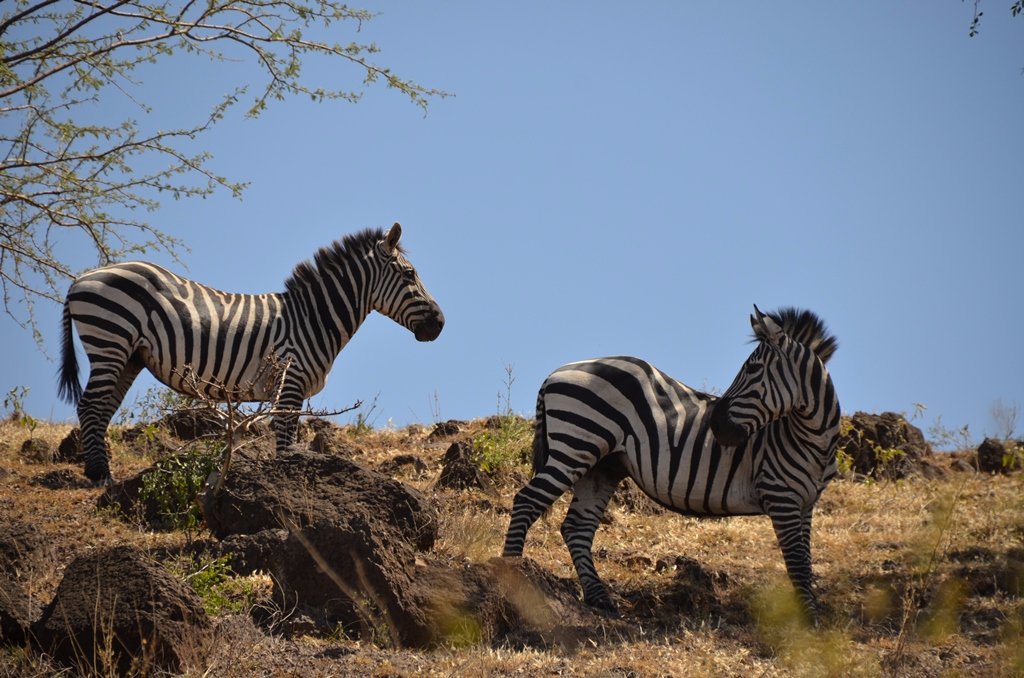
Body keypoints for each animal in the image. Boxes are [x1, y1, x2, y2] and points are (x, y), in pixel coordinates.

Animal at [58, 222, 444, 483]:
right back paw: (99, 475)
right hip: (110, 340)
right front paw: (288, 485)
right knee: (90, 405)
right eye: (410, 274)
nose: (439, 324)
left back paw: (101, 471)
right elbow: (286, 437)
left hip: (129, 355)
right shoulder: (291, 380)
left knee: (103, 409)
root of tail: (82, 277)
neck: (311, 318)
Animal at [497, 307, 839, 622]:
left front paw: (809, 617)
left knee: (576, 527)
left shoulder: (806, 504)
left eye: (753, 369)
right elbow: (797, 563)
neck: (811, 438)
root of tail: (555, 373)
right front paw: (809, 623)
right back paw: (512, 576)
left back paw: (599, 598)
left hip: (602, 467)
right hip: (575, 447)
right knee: (526, 501)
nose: (716, 424)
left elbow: (805, 561)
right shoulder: (781, 497)